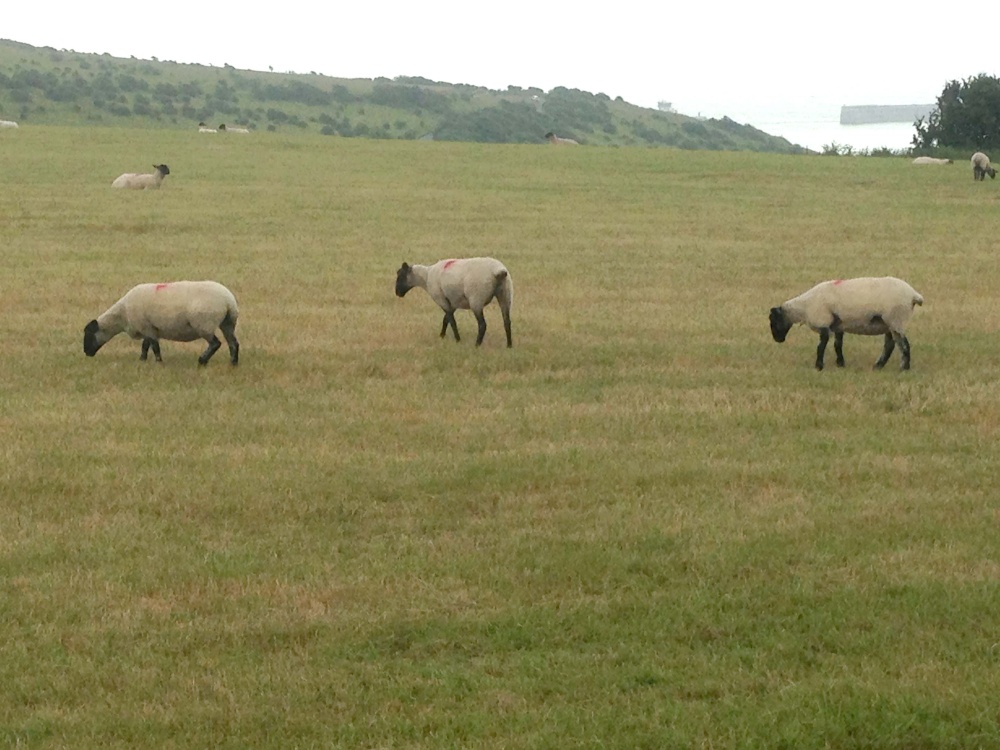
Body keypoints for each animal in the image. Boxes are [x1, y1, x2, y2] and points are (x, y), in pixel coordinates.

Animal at [83, 281, 239, 366]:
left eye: (89, 334)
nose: (86, 353)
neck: (122, 314)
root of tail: (228, 301)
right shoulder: (148, 328)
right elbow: (145, 346)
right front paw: (142, 360)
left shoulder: (146, 327)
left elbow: (154, 347)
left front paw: (158, 362)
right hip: (228, 322)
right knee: (233, 343)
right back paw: (233, 364)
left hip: (204, 324)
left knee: (215, 343)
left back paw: (202, 361)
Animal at [768, 277, 923, 371]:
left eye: (773, 320)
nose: (778, 340)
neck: (804, 307)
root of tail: (914, 295)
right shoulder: (838, 326)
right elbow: (838, 345)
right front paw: (840, 364)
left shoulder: (823, 322)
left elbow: (821, 347)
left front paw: (818, 366)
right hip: (890, 324)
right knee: (890, 345)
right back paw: (878, 366)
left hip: (896, 320)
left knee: (904, 345)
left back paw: (904, 368)